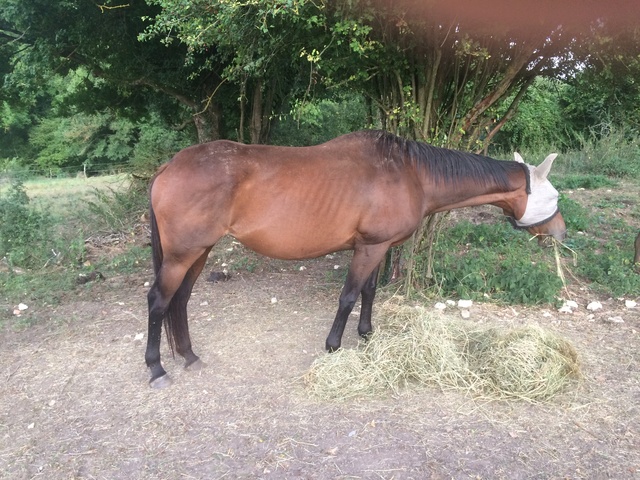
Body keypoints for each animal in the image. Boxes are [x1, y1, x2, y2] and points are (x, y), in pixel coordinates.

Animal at [145, 129, 564, 388]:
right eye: (556, 196)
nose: (560, 232)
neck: (411, 173)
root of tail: (168, 167)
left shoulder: (378, 246)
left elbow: (369, 292)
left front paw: (367, 334)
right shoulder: (369, 248)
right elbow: (348, 296)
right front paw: (333, 346)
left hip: (199, 253)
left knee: (180, 301)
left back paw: (189, 355)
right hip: (182, 255)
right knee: (159, 301)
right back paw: (157, 368)